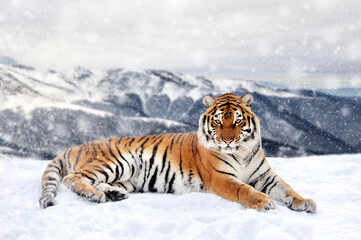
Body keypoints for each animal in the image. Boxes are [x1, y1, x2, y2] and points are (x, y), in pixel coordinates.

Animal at [38, 93, 316, 213]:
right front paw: (263, 202)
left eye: (237, 121)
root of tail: (77, 145)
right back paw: (95, 196)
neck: (242, 151)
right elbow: (244, 190)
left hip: (125, 177)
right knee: (73, 178)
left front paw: (304, 202)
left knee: (100, 183)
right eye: (218, 122)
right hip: (116, 161)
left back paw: (113, 195)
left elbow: (287, 188)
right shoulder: (221, 178)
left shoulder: (265, 176)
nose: (227, 140)